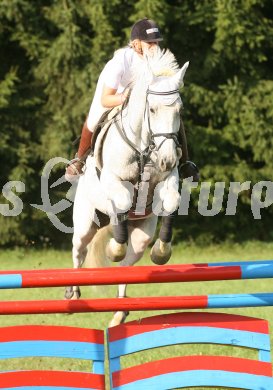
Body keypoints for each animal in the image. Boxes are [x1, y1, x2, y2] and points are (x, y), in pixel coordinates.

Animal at [67, 48, 188, 326]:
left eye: (179, 110)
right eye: (151, 109)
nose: (168, 159)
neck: (143, 145)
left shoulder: (167, 180)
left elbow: (172, 202)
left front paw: (162, 252)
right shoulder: (114, 180)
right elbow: (122, 201)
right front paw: (114, 248)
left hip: (141, 233)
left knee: (126, 267)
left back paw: (120, 313)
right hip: (86, 222)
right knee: (79, 250)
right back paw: (72, 293)